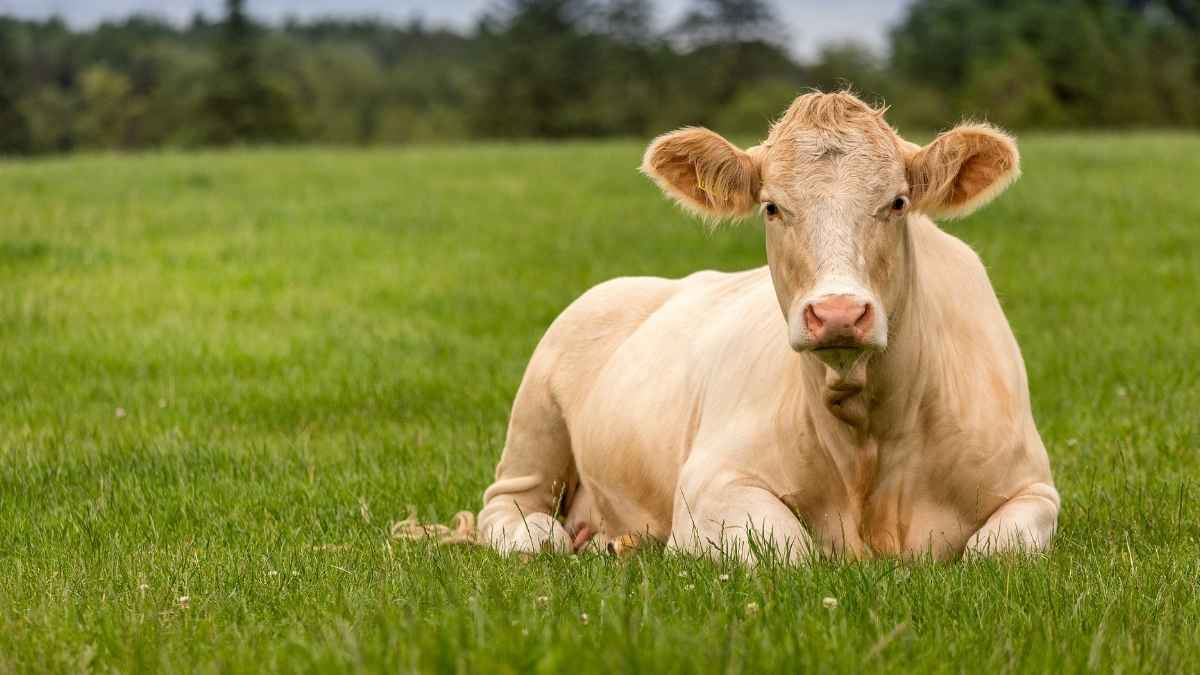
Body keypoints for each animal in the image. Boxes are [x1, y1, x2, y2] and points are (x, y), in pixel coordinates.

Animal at [471, 91, 1059, 562]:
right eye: (772, 207)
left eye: (897, 202)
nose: (838, 313)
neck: (870, 437)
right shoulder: (709, 482)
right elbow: (790, 551)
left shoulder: (1035, 488)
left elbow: (994, 550)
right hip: (535, 421)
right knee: (505, 508)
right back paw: (547, 536)